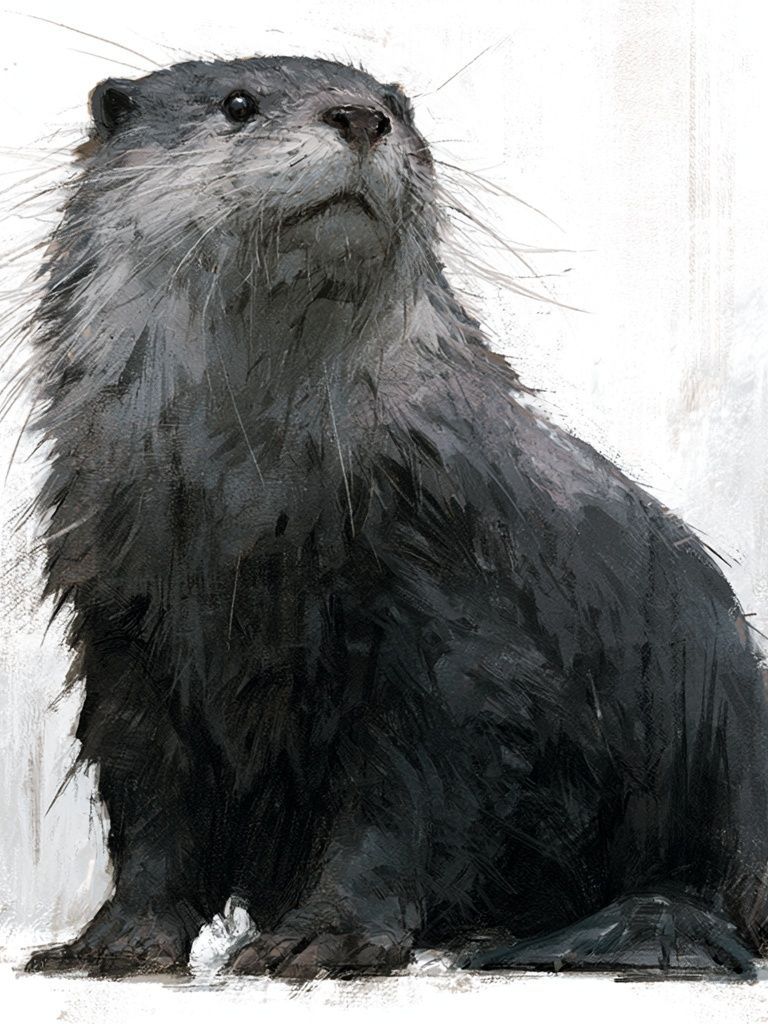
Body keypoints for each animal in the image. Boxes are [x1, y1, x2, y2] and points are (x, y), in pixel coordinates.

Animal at [20, 55, 768, 980]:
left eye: (401, 108)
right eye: (238, 105)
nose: (360, 116)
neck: (255, 522)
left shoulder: (454, 609)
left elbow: (406, 795)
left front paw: (325, 934)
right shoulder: (123, 621)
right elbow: (149, 795)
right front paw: (118, 939)